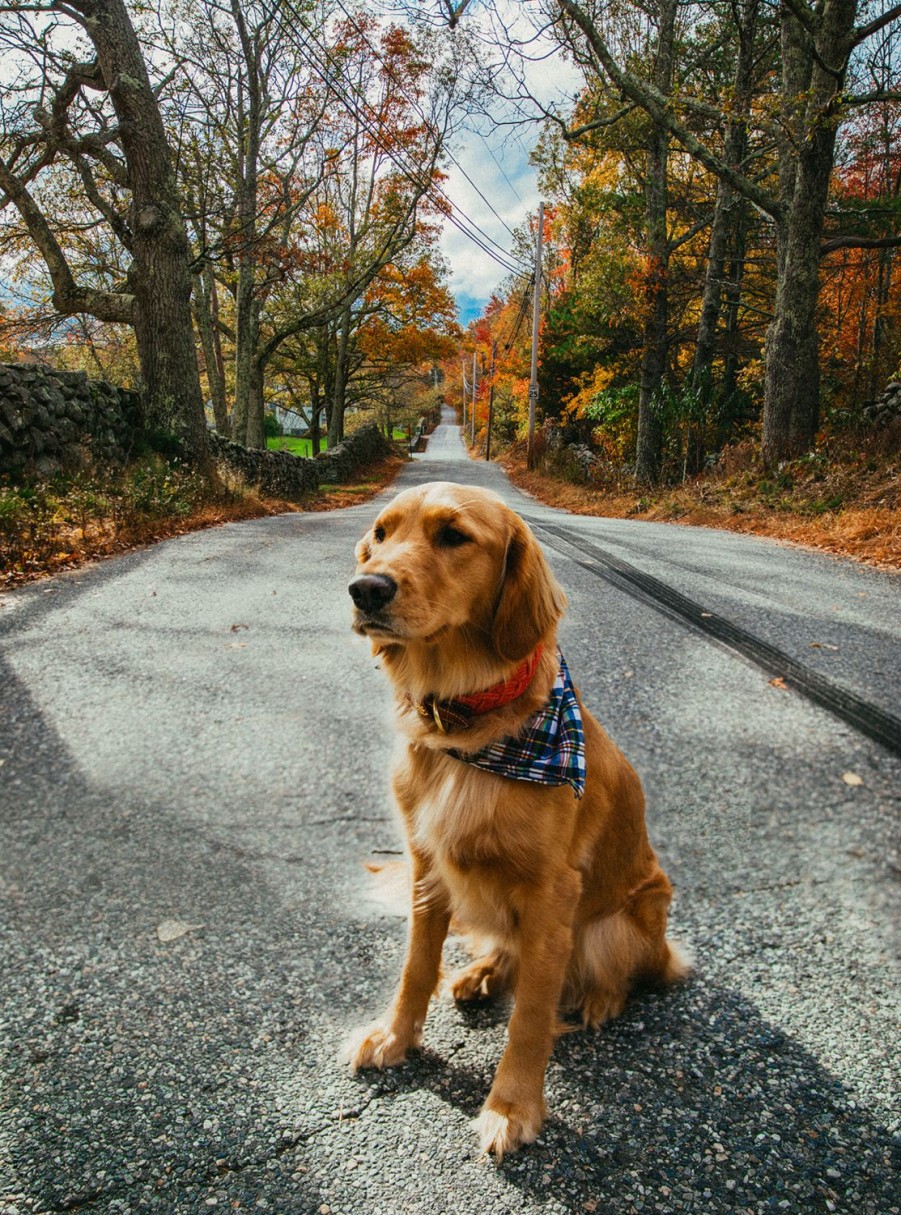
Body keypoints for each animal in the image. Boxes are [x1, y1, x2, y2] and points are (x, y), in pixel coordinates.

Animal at [342, 481, 689, 1156]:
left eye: (453, 535)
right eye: (381, 533)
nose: (365, 589)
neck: (463, 725)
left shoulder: (553, 895)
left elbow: (530, 1015)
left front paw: (511, 1106)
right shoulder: (427, 868)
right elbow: (415, 967)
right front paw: (395, 1037)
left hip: (624, 921)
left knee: (622, 973)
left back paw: (600, 998)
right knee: (507, 951)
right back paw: (480, 973)